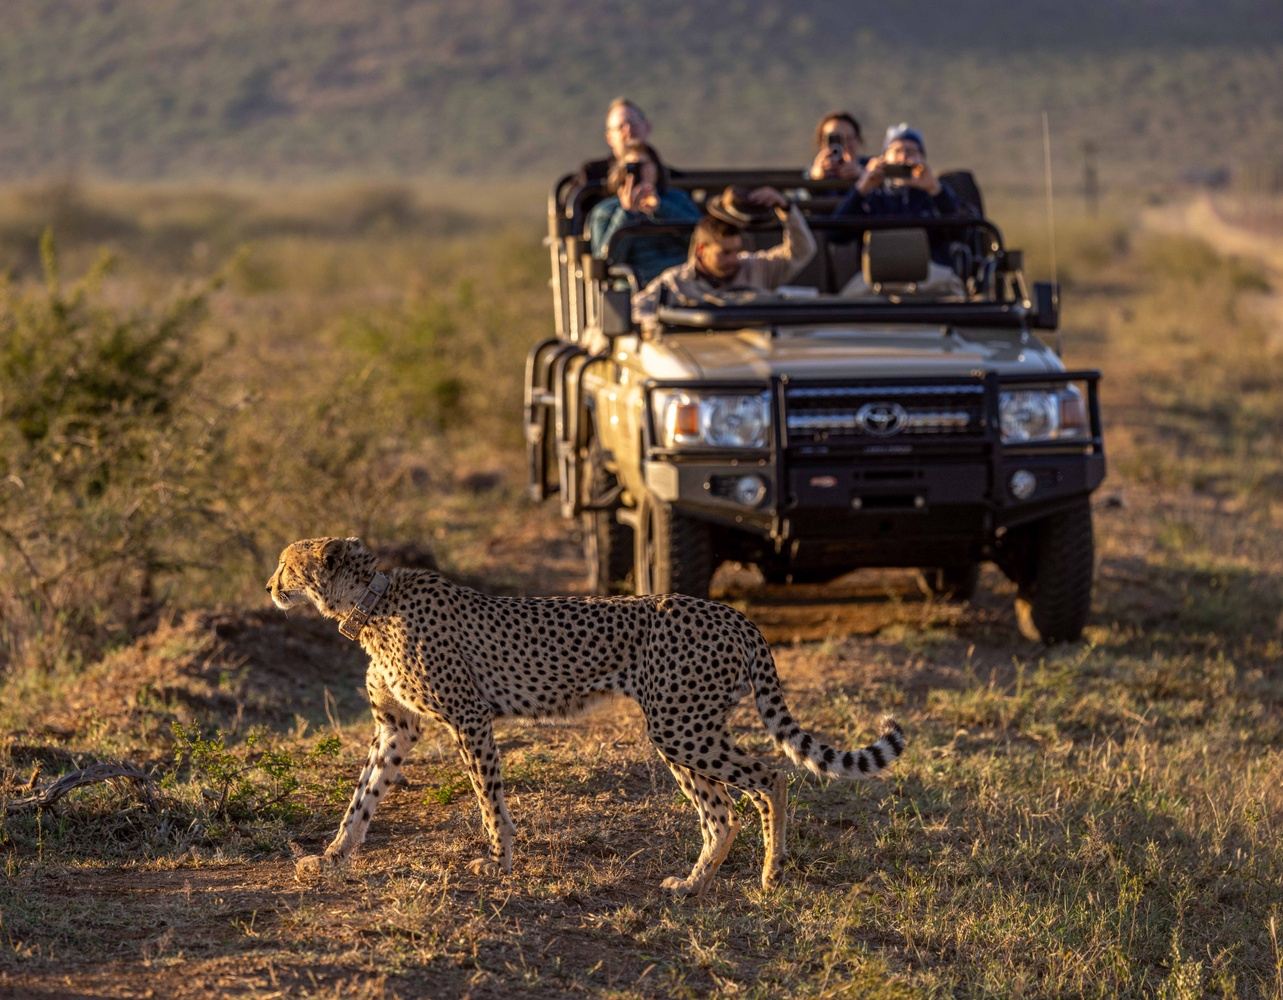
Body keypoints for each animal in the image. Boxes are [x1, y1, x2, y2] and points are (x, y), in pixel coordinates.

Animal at [266, 536, 903, 893]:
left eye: (286, 566)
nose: (270, 586)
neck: (370, 605)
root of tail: (730, 612)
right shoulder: (396, 727)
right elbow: (362, 798)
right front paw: (331, 858)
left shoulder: (470, 717)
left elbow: (489, 799)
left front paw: (498, 862)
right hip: (682, 727)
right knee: (722, 814)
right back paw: (693, 885)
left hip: (681, 726)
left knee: (771, 776)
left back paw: (771, 873)